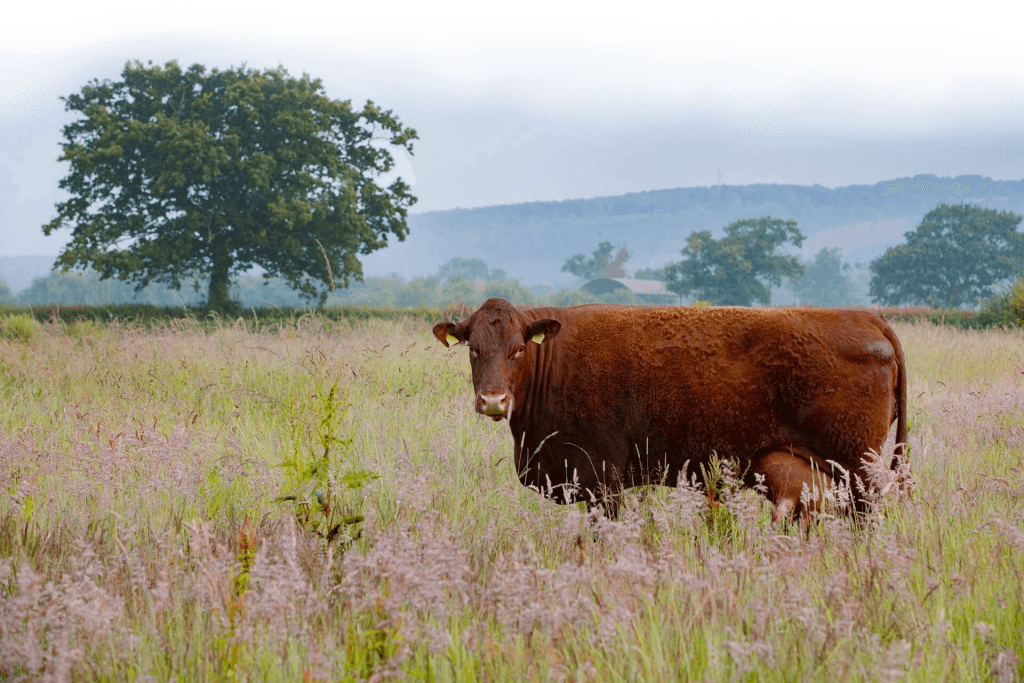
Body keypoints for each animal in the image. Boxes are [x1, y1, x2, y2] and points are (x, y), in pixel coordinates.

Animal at [432, 298, 907, 523]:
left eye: (517, 350)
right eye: (473, 349)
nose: (493, 400)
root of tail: (868, 318)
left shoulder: (603, 479)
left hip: (860, 470)